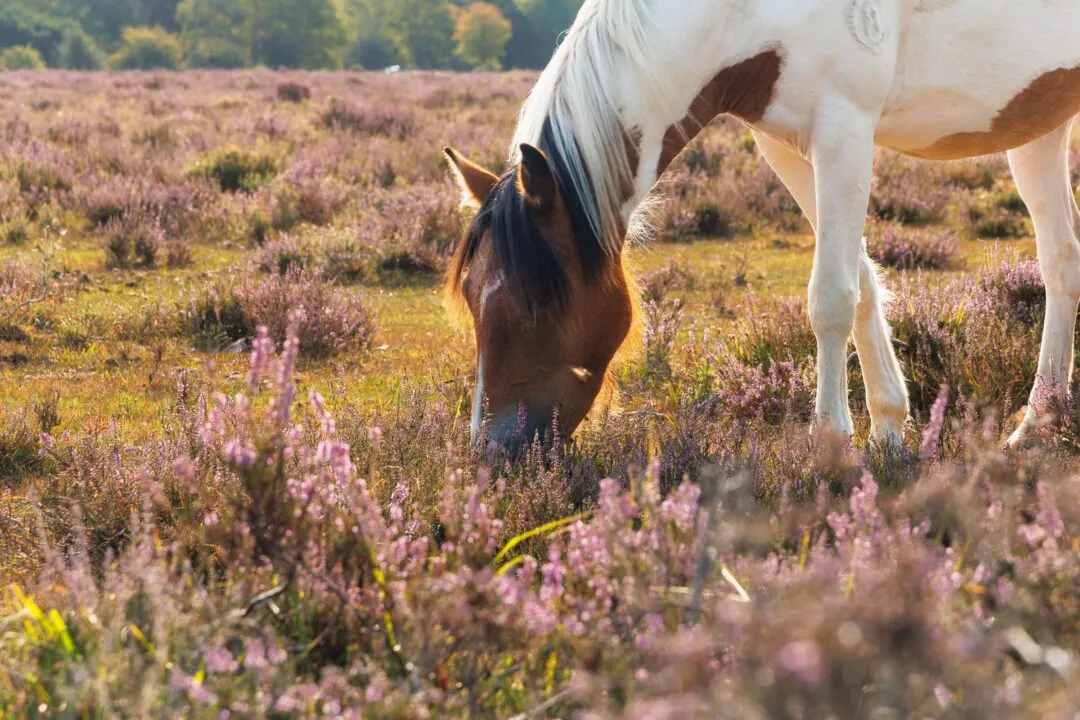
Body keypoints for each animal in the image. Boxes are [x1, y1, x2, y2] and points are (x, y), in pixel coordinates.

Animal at [444, 0, 1080, 451]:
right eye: (473, 299)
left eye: (534, 306)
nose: (490, 454)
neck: (740, 15)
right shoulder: (787, 145)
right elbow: (863, 281)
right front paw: (889, 431)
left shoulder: (844, 130)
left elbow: (832, 296)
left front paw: (831, 444)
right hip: (1039, 128)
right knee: (1060, 261)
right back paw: (1038, 424)